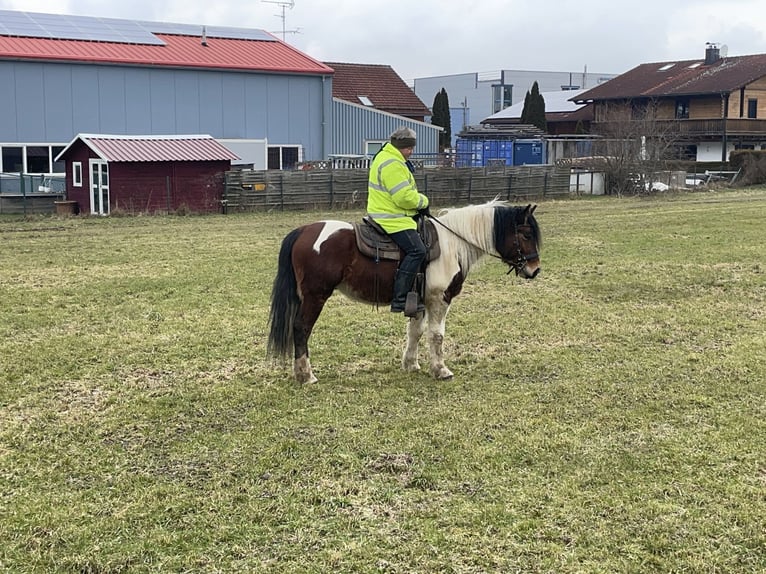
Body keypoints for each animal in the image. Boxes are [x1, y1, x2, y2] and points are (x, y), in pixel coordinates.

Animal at [268, 200, 544, 384]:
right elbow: (436, 335)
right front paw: (441, 369)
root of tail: (303, 231)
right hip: (315, 297)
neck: (451, 244)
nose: (534, 270)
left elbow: (416, 331)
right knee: (301, 328)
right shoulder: (439, 299)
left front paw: (411, 364)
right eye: (526, 233)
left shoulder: (418, 300)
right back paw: (306, 375)